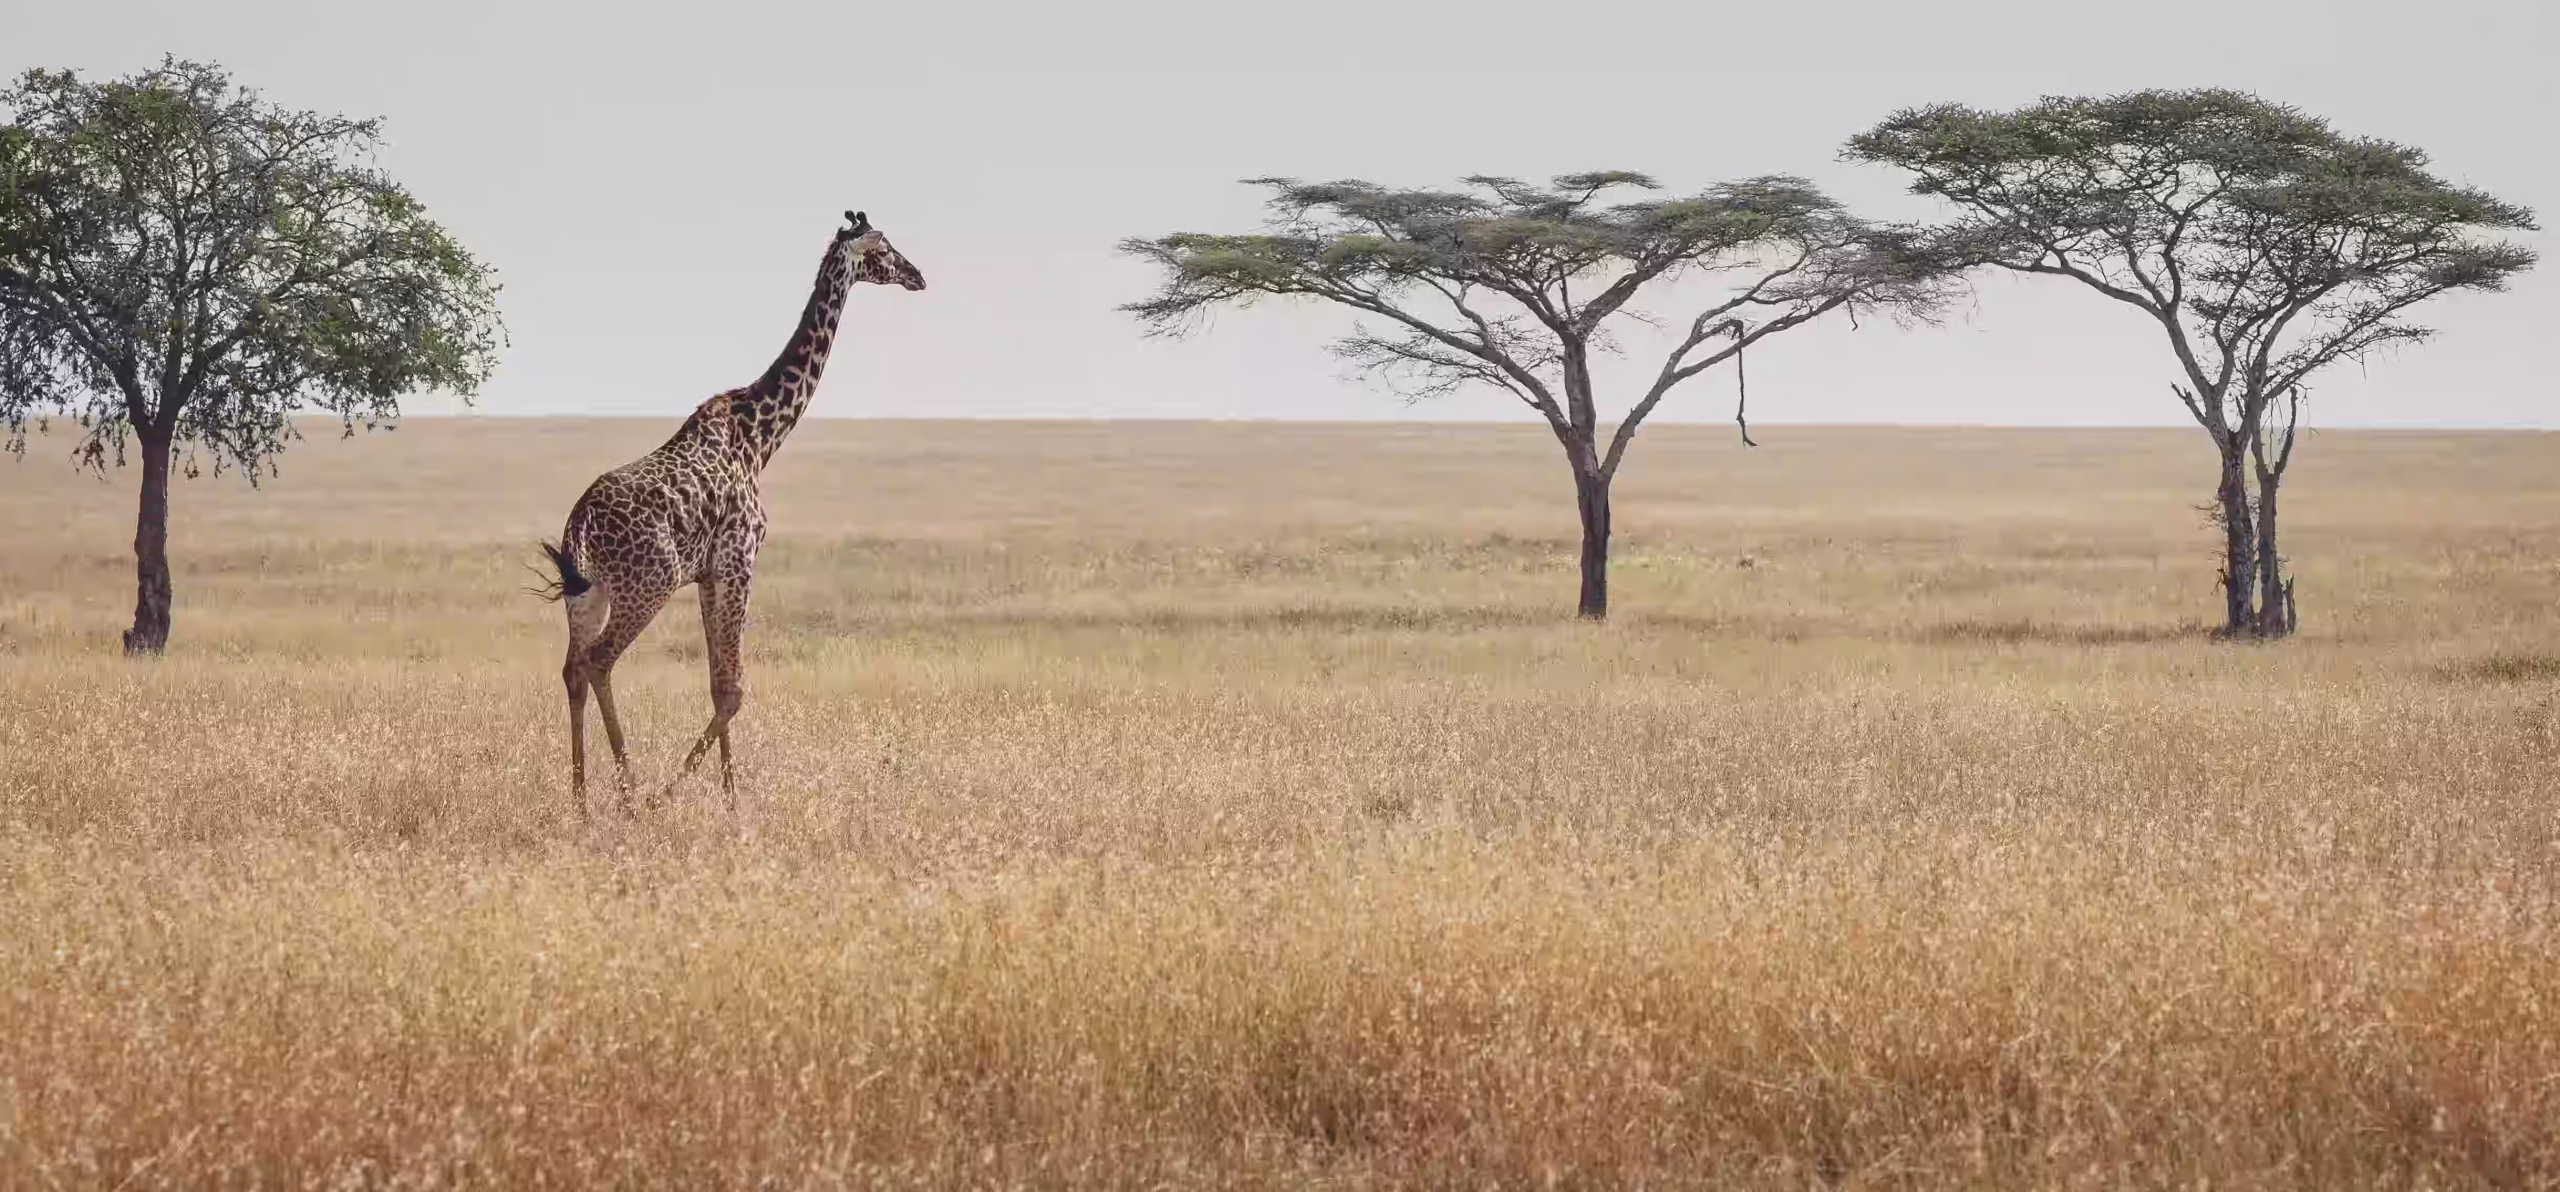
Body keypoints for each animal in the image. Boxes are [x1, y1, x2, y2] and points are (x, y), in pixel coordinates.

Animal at [532, 209, 925, 816]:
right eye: (883, 248)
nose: (917, 275)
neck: (760, 435)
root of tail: (580, 528)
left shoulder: (709, 572)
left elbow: (718, 683)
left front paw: (730, 795)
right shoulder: (740, 556)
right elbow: (735, 689)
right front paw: (682, 794)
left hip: (588, 594)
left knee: (573, 668)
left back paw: (579, 798)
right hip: (647, 584)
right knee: (599, 662)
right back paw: (631, 793)